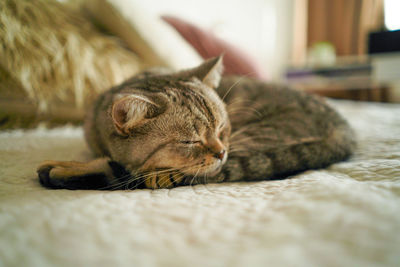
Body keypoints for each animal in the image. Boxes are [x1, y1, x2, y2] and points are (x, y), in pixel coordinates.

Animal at [37, 56, 356, 191]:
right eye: (190, 141)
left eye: (222, 130)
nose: (221, 151)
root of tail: (344, 127)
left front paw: (66, 168)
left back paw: (60, 173)